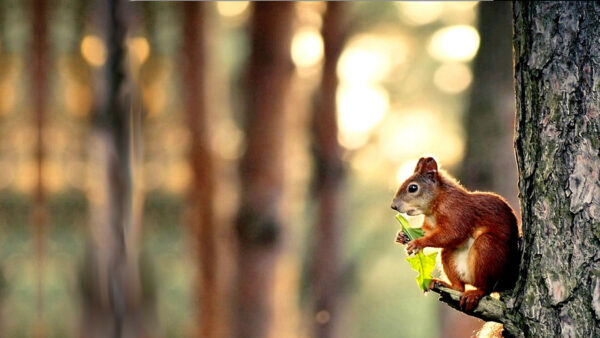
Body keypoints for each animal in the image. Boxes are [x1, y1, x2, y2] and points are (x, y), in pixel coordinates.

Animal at [392, 157, 516, 310]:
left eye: (413, 188)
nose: (393, 206)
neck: (436, 204)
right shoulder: (430, 224)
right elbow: (427, 231)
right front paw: (402, 236)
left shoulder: (457, 212)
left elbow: (453, 234)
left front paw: (418, 243)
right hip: (449, 255)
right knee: (460, 287)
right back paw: (445, 284)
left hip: (487, 249)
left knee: (487, 287)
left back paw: (475, 293)